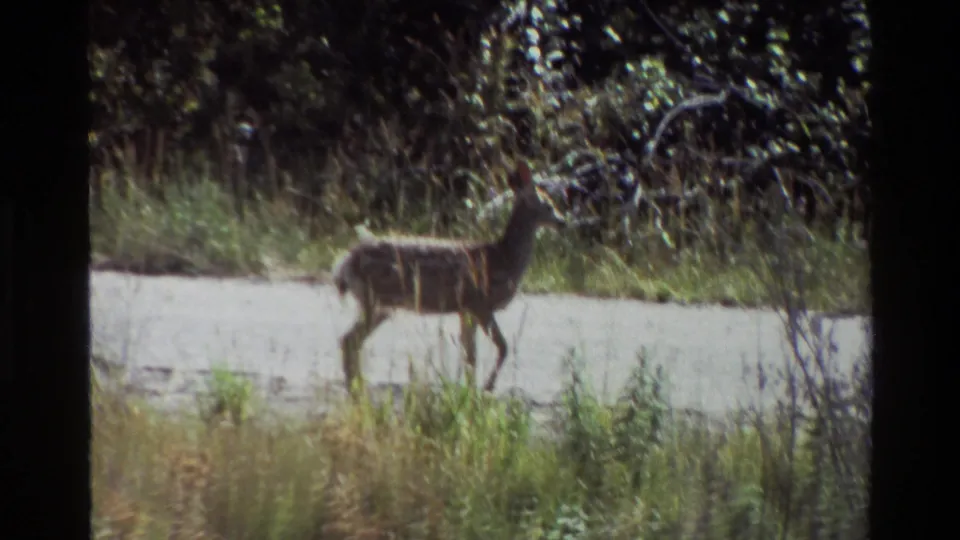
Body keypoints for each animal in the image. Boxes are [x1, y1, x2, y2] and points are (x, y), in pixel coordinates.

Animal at [331, 160, 567, 395]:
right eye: (548, 205)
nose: (562, 222)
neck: (504, 258)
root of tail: (345, 264)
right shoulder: (479, 304)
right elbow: (501, 347)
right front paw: (486, 387)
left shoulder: (465, 310)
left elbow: (470, 354)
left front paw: (469, 390)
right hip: (375, 299)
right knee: (349, 340)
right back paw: (356, 388)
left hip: (380, 304)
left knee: (350, 340)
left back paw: (357, 386)